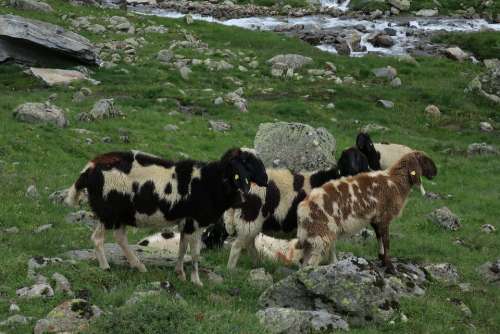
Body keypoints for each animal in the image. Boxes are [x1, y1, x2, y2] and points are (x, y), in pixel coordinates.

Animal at [68, 149, 270, 288]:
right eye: (247, 162)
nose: (266, 180)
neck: (211, 182)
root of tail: (89, 169)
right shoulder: (196, 223)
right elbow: (194, 254)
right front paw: (196, 281)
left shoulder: (186, 223)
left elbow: (182, 249)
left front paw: (180, 274)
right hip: (108, 212)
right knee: (97, 239)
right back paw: (106, 267)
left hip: (121, 215)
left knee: (120, 239)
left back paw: (138, 266)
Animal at [296, 151, 438, 274]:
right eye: (425, 160)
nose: (436, 172)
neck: (395, 182)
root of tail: (303, 209)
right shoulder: (384, 216)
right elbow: (387, 241)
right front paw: (390, 267)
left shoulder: (375, 218)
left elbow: (379, 237)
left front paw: (382, 258)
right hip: (320, 234)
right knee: (311, 263)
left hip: (314, 236)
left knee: (305, 261)